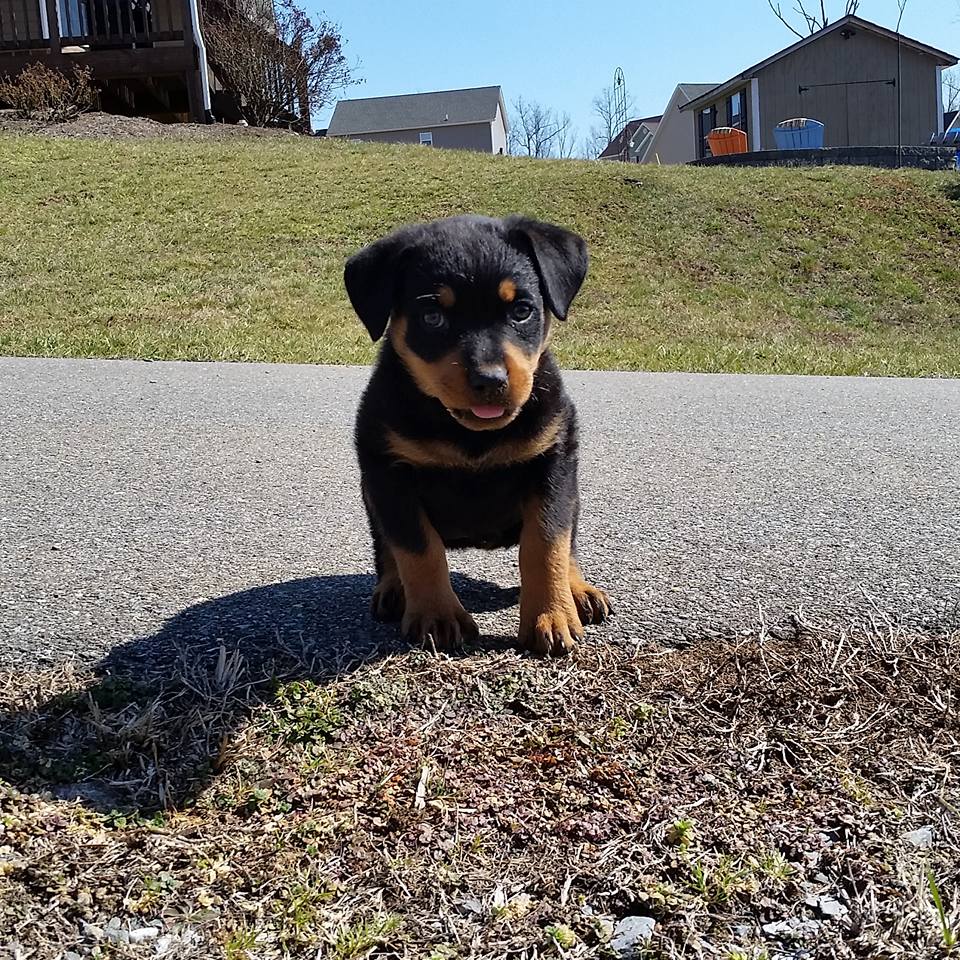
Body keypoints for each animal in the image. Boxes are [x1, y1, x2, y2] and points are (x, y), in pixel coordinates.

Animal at [344, 214, 612, 656]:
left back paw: (577, 590)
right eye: (433, 317)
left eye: (522, 310)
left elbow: (547, 542)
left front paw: (551, 615)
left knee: (568, 538)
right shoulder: (389, 471)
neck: (469, 434)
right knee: (386, 545)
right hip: (371, 493)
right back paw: (393, 588)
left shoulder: (552, 460)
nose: (490, 380)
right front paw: (438, 616)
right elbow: (418, 548)